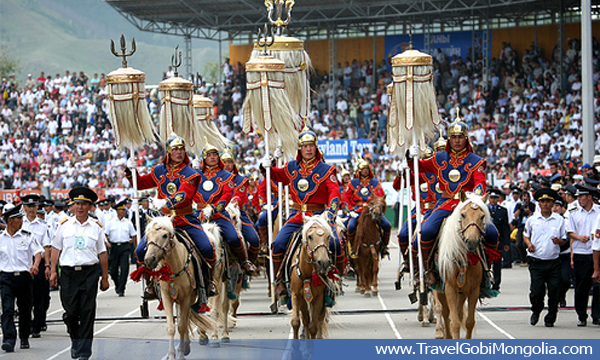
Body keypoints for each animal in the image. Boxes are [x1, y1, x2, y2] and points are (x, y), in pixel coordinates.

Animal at [144, 217, 219, 360]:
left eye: (165, 235)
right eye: (147, 236)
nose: (149, 260)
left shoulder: (186, 298)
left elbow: (182, 326)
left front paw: (181, 354)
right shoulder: (166, 297)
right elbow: (171, 327)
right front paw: (172, 355)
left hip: (191, 298)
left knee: (185, 318)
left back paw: (186, 347)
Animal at [434, 193, 490, 338]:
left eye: (482, 216)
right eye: (463, 215)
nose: (471, 242)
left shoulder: (473, 290)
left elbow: (469, 322)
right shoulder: (449, 288)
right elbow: (454, 322)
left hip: (462, 292)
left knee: (458, 314)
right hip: (440, 289)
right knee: (445, 312)